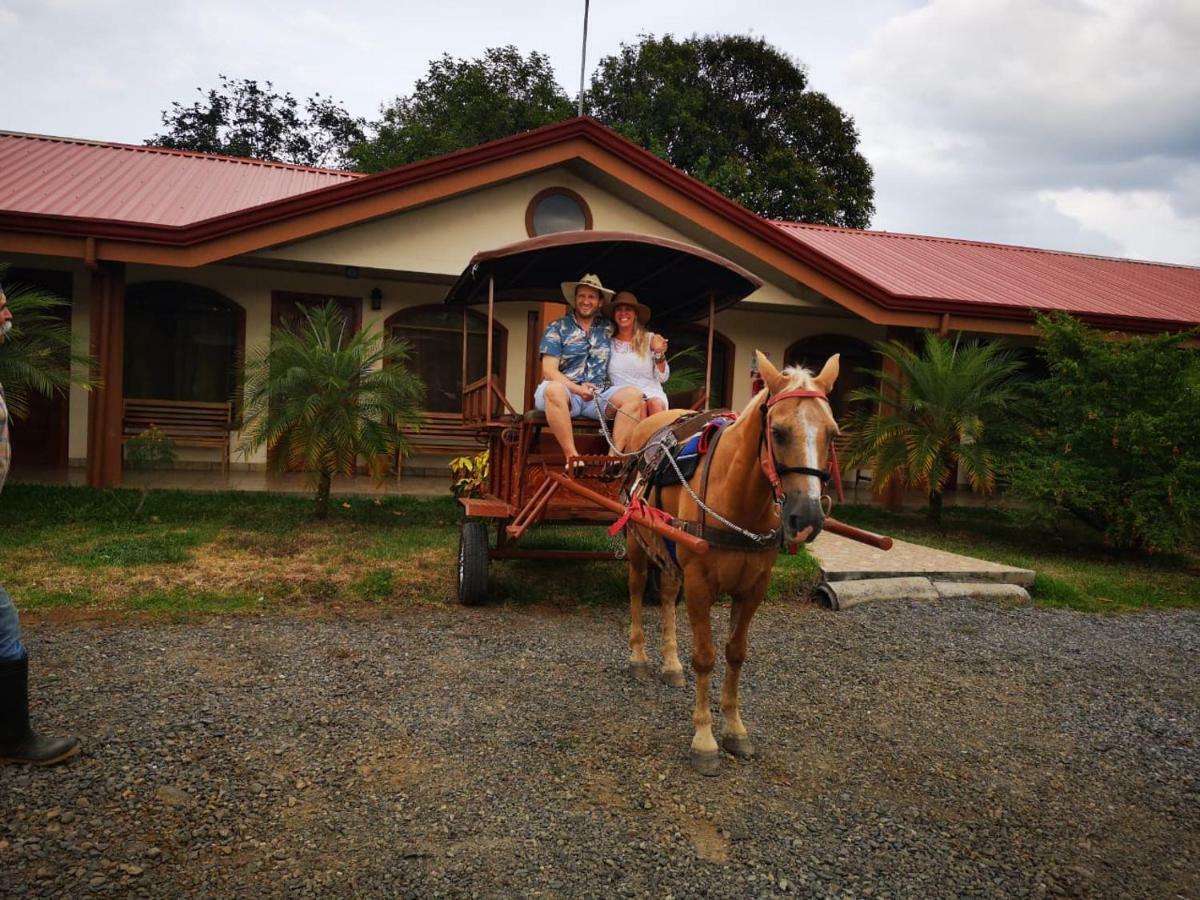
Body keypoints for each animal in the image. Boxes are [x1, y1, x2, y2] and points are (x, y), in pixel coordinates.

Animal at [624, 350, 840, 777]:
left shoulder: (753, 588)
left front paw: (735, 729)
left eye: (832, 433)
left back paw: (670, 664)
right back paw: (639, 657)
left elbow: (736, 654)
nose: (807, 518)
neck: (739, 499)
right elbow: (706, 658)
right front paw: (705, 739)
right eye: (778, 432)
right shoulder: (700, 585)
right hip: (640, 542)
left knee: (667, 594)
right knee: (639, 589)